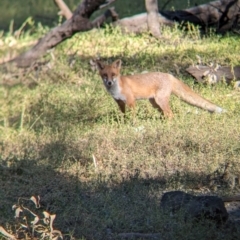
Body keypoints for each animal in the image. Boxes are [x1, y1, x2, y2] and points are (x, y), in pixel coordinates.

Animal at [95, 59, 225, 119]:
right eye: (105, 75)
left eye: (113, 74)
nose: (109, 82)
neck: (117, 88)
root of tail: (169, 75)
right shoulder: (120, 102)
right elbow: (123, 115)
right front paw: (123, 122)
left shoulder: (131, 101)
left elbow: (133, 116)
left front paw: (132, 124)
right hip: (155, 103)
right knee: (165, 114)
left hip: (160, 101)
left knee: (170, 114)